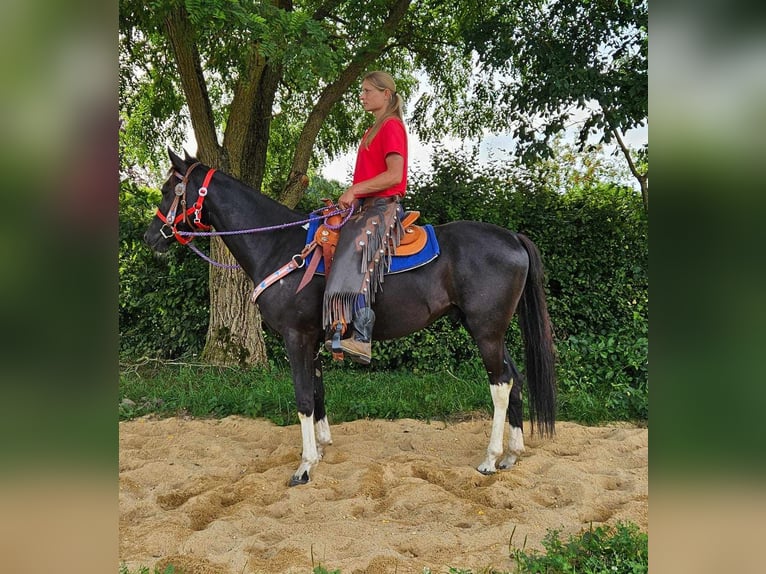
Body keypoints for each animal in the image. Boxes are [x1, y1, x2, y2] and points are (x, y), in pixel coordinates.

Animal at [144, 148, 560, 486]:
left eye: (168, 189)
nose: (150, 238)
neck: (279, 246)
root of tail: (512, 237)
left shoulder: (296, 337)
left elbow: (303, 397)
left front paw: (305, 466)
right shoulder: (312, 338)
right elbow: (317, 391)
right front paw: (322, 447)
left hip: (485, 330)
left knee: (501, 384)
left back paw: (490, 459)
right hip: (491, 330)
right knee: (514, 378)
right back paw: (511, 455)